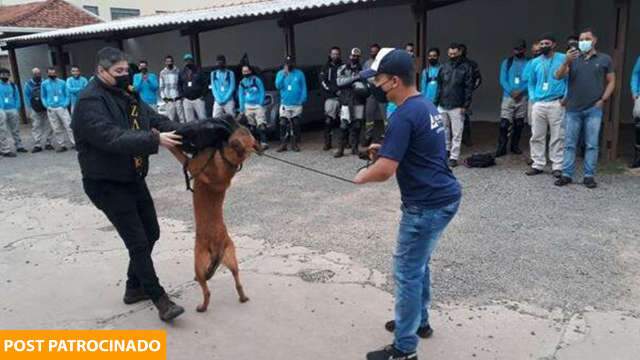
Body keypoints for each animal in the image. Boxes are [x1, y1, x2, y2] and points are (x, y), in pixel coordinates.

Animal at [172, 125, 260, 310]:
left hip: (198, 260)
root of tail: (218, 246)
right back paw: (243, 297)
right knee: (237, 281)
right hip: (231, 259)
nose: (242, 121)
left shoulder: (190, 164)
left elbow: (175, 150)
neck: (229, 161)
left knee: (206, 290)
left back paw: (202, 306)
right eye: (247, 132)